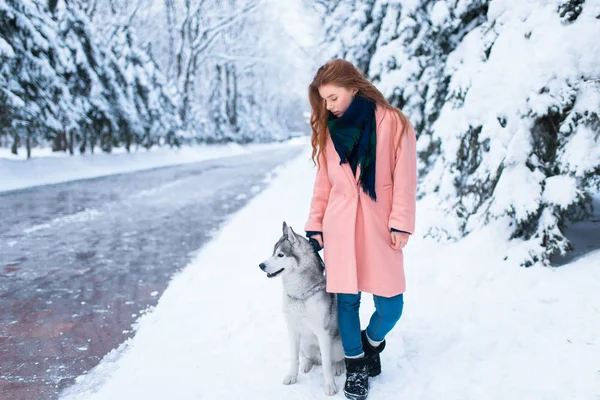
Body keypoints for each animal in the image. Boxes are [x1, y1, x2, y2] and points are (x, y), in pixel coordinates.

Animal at [258, 223, 346, 396]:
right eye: (273, 252)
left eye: (280, 255)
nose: (261, 265)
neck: (300, 294)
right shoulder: (292, 330)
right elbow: (294, 358)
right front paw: (292, 376)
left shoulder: (322, 333)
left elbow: (327, 365)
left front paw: (330, 386)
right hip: (304, 344)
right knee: (308, 358)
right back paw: (307, 364)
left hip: (338, 344)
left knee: (336, 359)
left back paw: (338, 366)